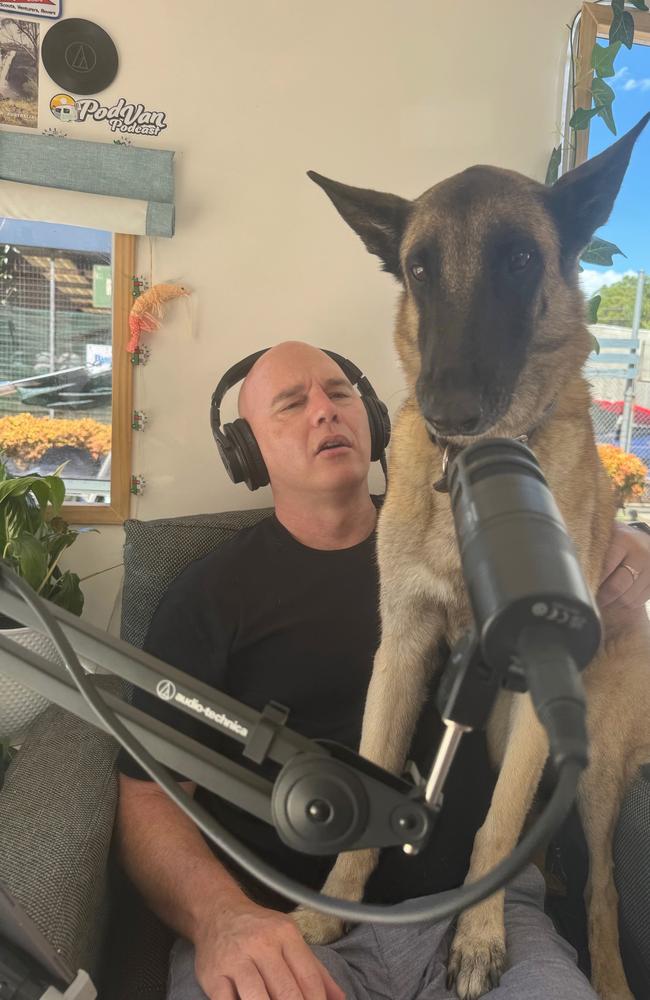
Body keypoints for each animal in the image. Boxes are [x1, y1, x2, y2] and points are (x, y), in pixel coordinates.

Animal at [292, 111, 648, 1000]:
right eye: (419, 268)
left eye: (520, 260)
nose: (448, 411)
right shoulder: (403, 651)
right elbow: (377, 777)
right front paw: (329, 906)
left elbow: (495, 826)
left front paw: (480, 935)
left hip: (586, 764)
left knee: (600, 883)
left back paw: (607, 967)